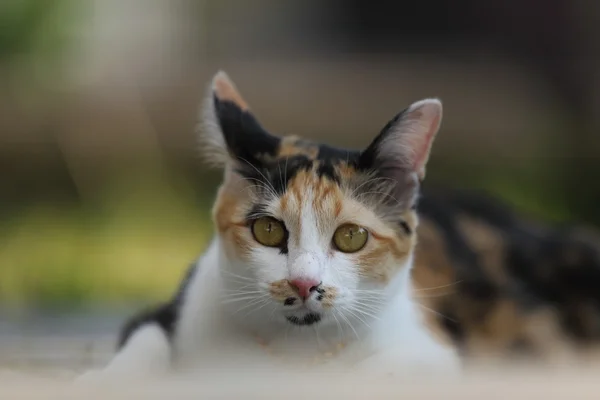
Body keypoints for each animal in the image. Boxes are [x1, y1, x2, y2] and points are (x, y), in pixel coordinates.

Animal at [75, 69, 460, 382]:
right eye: (268, 230)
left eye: (351, 236)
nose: (304, 283)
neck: (297, 351)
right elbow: (146, 337)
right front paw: (108, 382)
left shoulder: (432, 353)